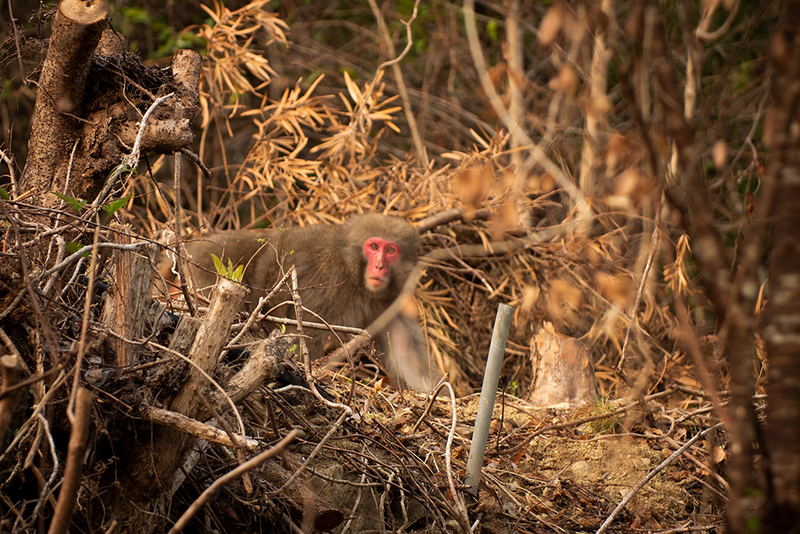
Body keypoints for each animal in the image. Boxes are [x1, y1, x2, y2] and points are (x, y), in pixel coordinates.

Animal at [159, 214, 440, 394]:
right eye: (373, 246)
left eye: (390, 250)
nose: (380, 266)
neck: (354, 273)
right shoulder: (328, 286)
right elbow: (301, 342)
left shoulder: (390, 300)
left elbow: (410, 360)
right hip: (207, 273)